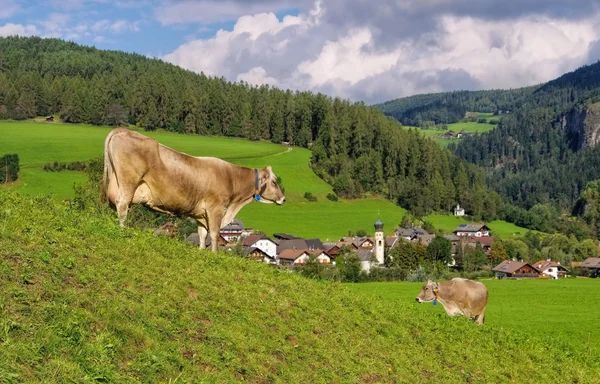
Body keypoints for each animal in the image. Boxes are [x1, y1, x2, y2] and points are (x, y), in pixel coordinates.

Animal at [102, 127, 288, 250]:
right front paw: (214, 254)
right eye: (274, 182)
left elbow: (202, 235)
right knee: (122, 205)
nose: (283, 199)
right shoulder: (216, 209)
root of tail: (122, 130)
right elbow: (214, 234)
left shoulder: (201, 214)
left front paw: (201, 251)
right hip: (129, 182)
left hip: (116, 181)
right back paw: (122, 230)